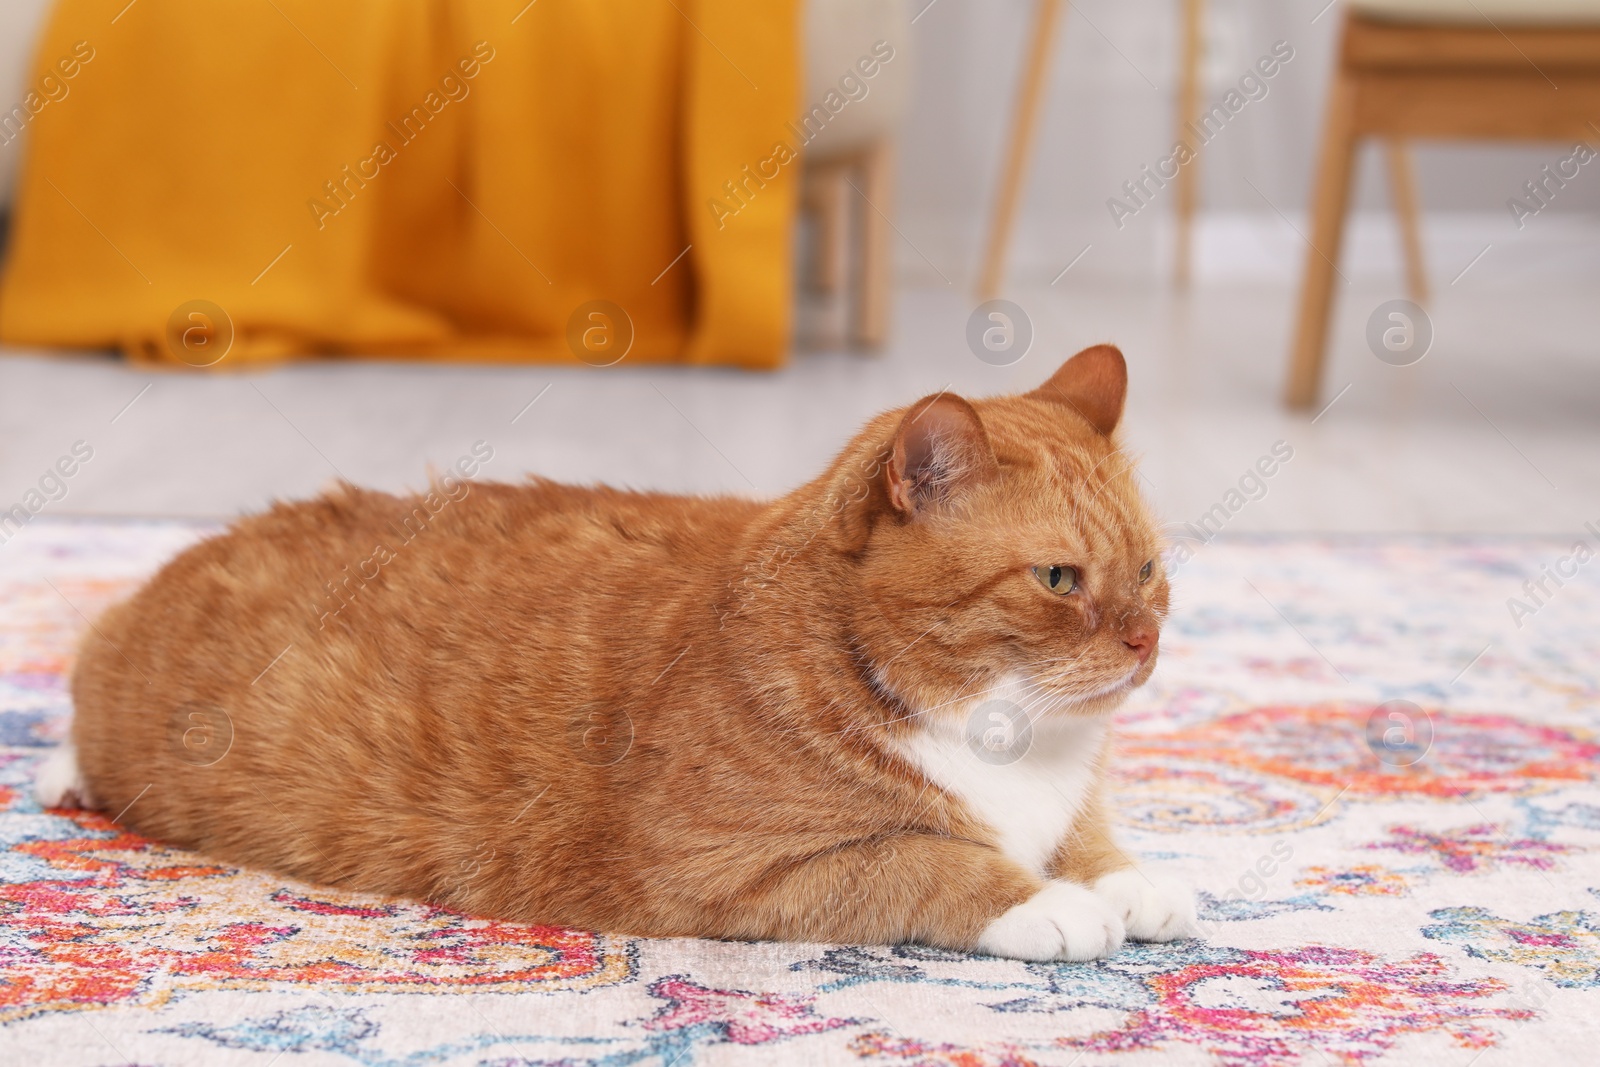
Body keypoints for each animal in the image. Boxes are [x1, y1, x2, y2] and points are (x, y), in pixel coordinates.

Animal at [37, 348, 1196, 959]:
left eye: (1148, 569)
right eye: (1059, 580)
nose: (1144, 643)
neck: (1016, 740)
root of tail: (219, 535)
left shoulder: (1066, 803)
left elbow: (1092, 838)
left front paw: (1127, 880)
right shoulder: (729, 867)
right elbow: (925, 861)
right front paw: (1046, 899)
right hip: (123, 704)